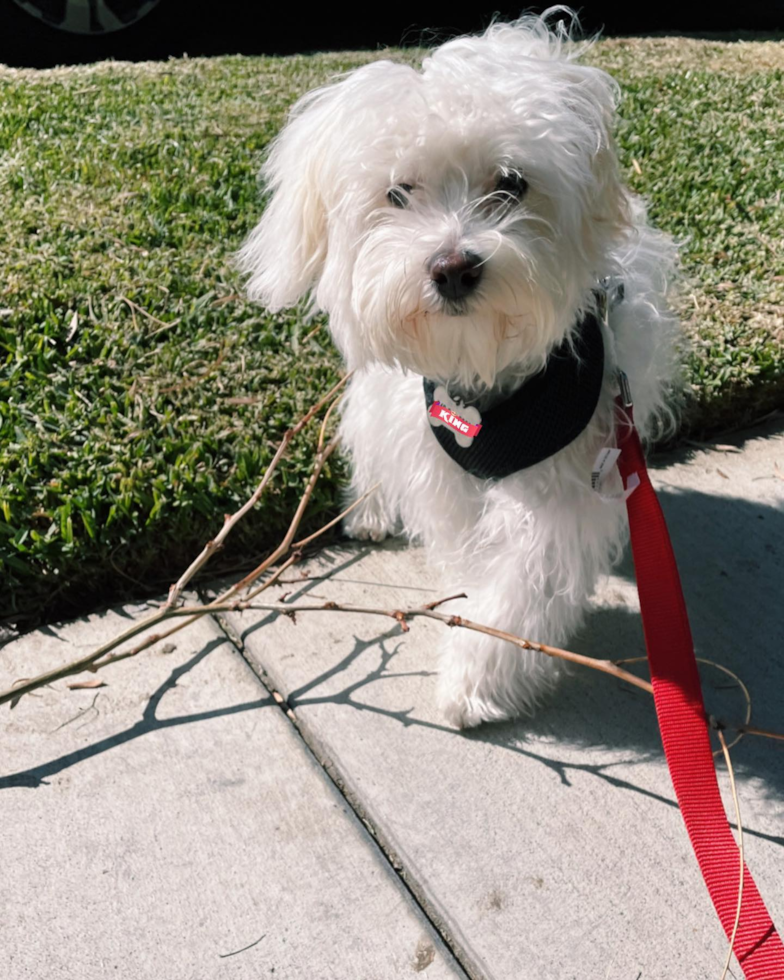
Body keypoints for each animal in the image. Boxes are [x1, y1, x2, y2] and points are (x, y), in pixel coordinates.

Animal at [242, 7, 684, 728]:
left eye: (511, 184)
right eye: (397, 192)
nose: (452, 267)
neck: (480, 378)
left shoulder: (568, 478)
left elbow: (525, 575)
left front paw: (475, 678)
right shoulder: (437, 462)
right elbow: (458, 538)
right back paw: (369, 508)